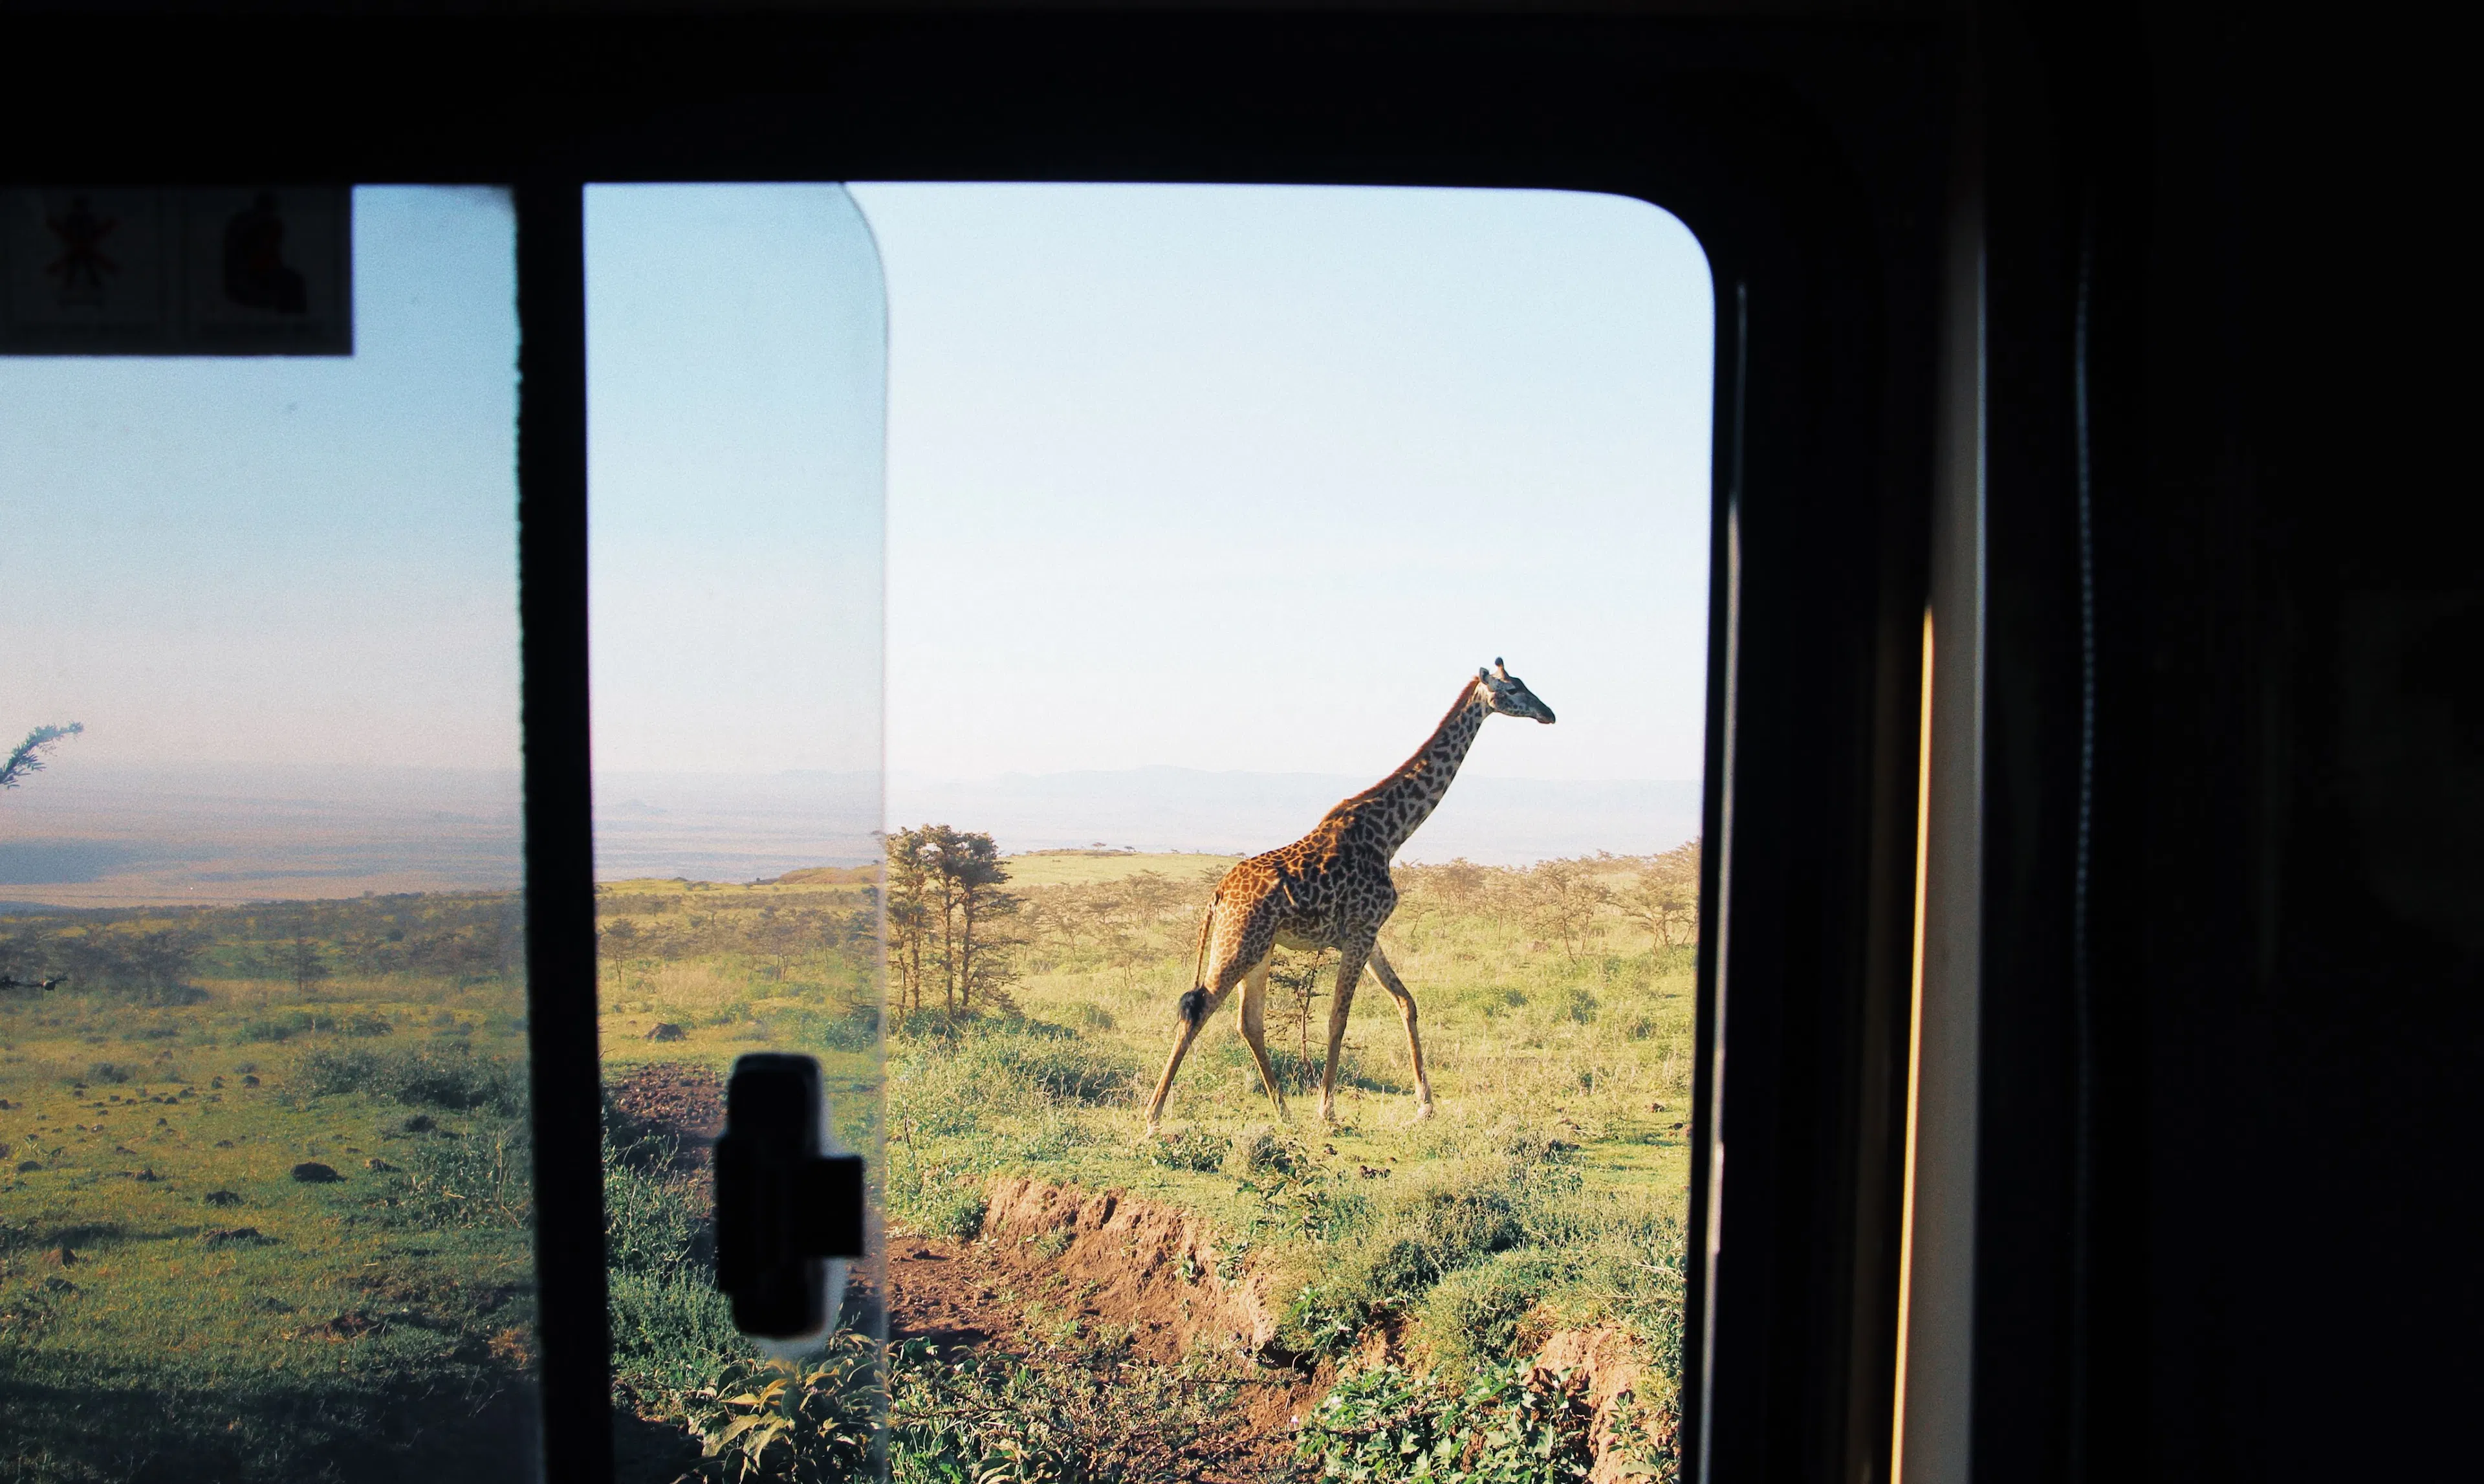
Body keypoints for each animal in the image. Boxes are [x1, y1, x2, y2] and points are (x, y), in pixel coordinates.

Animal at [1142, 660, 1557, 1134]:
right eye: (1513, 689)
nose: (1549, 714)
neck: (1391, 832)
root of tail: (1219, 893)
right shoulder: (1361, 932)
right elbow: (1338, 1018)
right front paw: (1327, 1108)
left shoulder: (1368, 934)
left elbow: (1406, 1002)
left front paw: (1426, 1104)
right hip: (1239, 943)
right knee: (1199, 1009)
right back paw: (1154, 1114)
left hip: (1260, 948)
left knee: (1249, 1022)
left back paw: (1283, 1111)